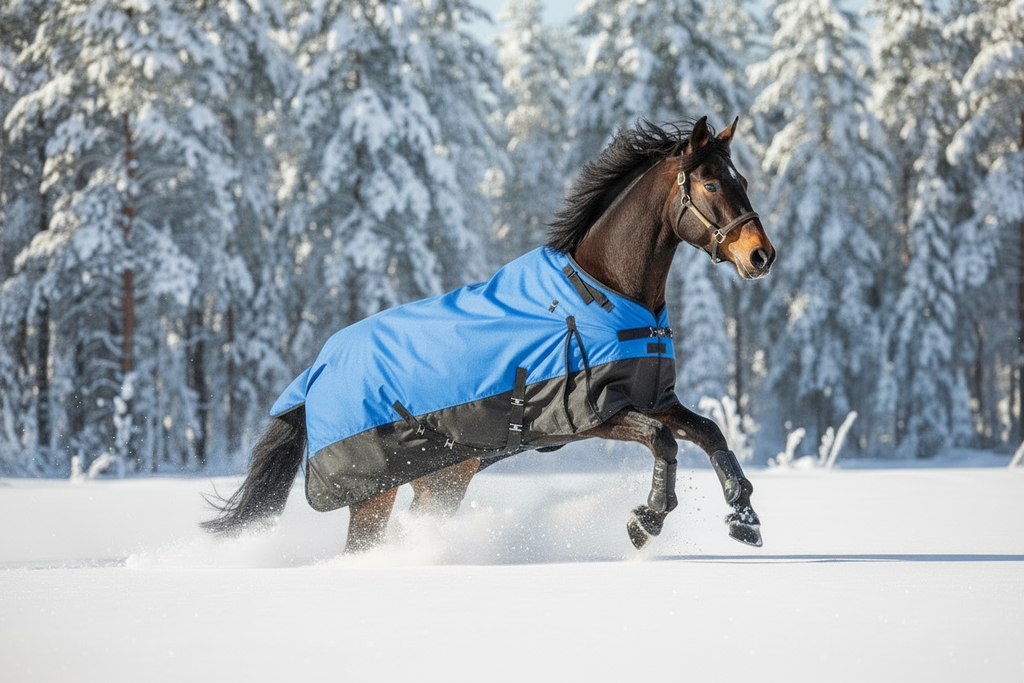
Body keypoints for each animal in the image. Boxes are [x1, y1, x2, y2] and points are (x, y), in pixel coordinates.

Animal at [203, 116, 775, 553]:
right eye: (710, 184)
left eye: (742, 179)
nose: (761, 255)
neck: (603, 292)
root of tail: (313, 374)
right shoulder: (591, 415)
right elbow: (662, 441)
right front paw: (647, 519)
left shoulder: (653, 398)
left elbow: (709, 432)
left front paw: (744, 518)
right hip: (372, 491)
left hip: (443, 477)